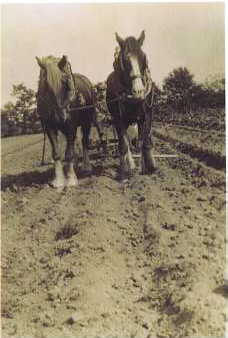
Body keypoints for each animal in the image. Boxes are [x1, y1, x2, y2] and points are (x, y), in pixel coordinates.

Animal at [36, 54, 94, 187]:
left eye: (65, 82)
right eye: (46, 86)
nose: (62, 116)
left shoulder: (71, 125)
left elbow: (69, 153)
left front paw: (71, 178)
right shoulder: (49, 126)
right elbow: (57, 153)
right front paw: (58, 180)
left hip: (87, 122)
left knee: (84, 142)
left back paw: (86, 166)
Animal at [106, 31, 157, 180]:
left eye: (144, 57)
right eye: (125, 60)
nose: (139, 91)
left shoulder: (147, 114)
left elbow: (146, 141)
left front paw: (150, 168)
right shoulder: (118, 118)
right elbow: (123, 145)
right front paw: (124, 173)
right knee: (126, 142)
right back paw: (131, 166)